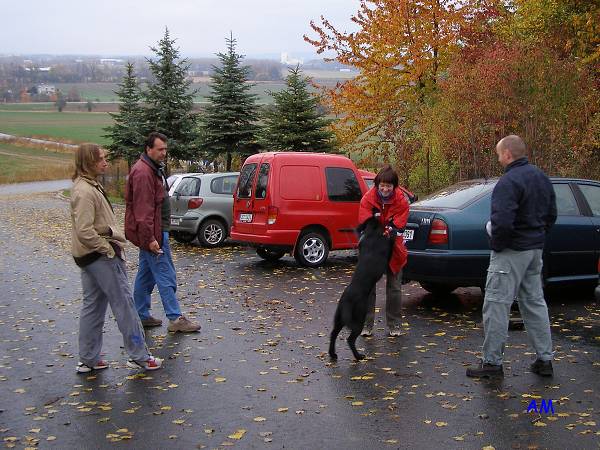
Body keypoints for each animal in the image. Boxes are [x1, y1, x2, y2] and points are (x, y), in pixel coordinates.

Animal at [328, 216, 394, 360]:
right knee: (350, 339)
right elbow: (391, 240)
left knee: (333, 334)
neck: (371, 234)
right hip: (358, 319)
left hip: (339, 319)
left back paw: (333, 354)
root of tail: (346, 300)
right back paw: (358, 356)